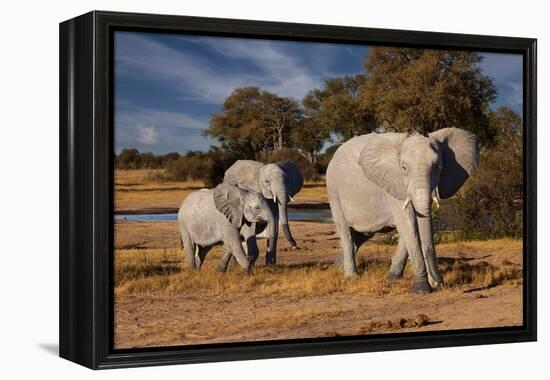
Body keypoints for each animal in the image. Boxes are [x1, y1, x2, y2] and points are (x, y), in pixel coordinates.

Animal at [328, 128, 478, 294]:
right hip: (334, 190)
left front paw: (393, 279)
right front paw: (421, 290)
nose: (439, 282)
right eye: (404, 168)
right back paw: (351, 277)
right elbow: (409, 224)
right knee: (346, 233)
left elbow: (411, 228)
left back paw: (338, 267)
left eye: (438, 168)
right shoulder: (394, 183)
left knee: (361, 235)